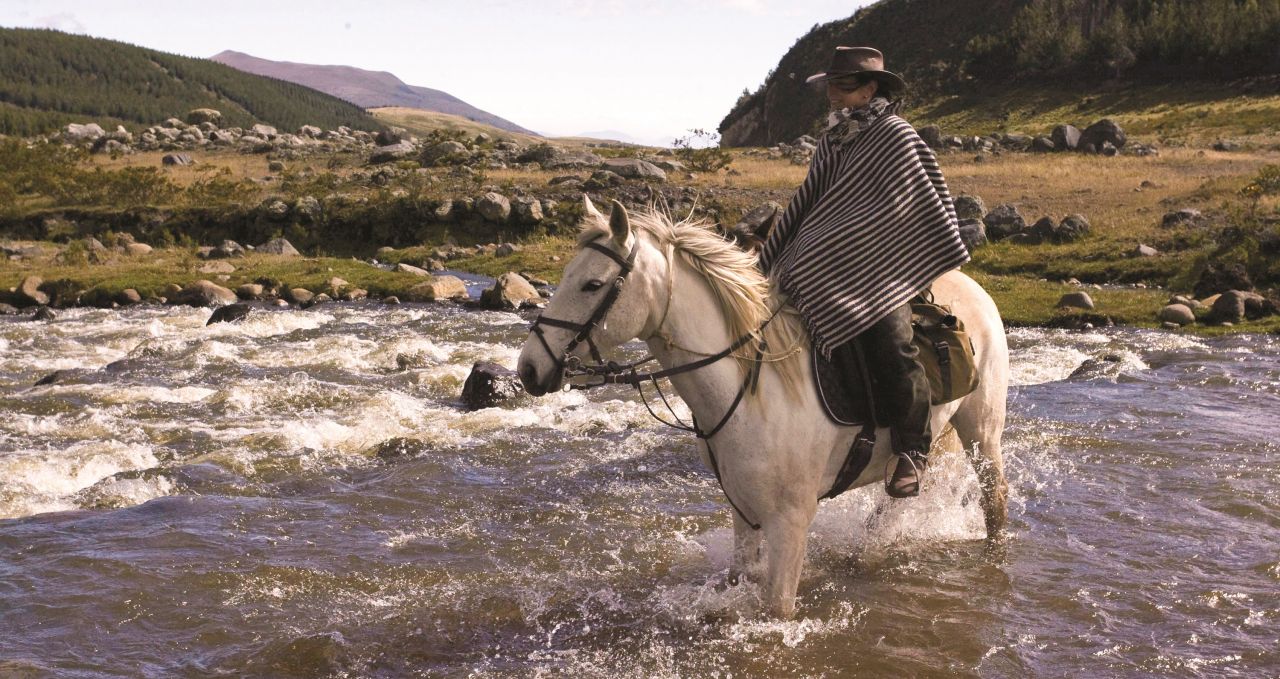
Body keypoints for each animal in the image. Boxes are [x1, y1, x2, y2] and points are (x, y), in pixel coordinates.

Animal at [512, 197, 1008, 617]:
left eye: (592, 283)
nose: (529, 369)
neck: (754, 392)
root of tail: (974, 289)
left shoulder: (791, 522)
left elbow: (777, 609)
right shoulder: (742, 509)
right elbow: (740, 577)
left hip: (982, 431)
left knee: (995, 499)